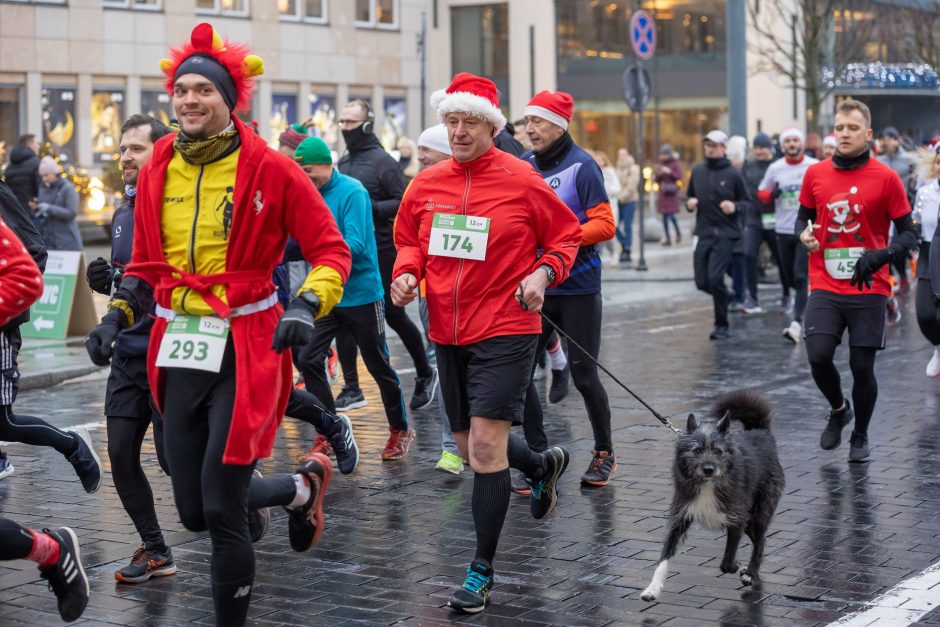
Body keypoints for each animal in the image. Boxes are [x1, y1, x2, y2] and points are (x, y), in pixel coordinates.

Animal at [640, 390, 784, 600]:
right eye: (697, 450)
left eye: (718, 451)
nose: (708, 469)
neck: (707, 484)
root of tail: (761, 433)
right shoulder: (680, 517)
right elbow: (664, 556)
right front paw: (652, 588)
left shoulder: (737, 519)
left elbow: (726, 560)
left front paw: (736, 566)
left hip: (757, 513)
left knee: (760, 541)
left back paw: (751, 573)